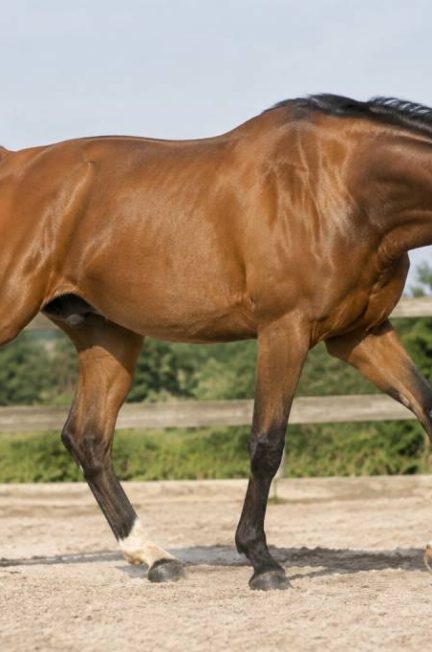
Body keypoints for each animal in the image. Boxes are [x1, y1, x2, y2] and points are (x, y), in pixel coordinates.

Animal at [2, 94, 432, 591]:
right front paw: (262, 561)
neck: (339, 189)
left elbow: (427, 408)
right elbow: (266, 444)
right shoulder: (284, 329)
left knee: (87, 437)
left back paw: (155, 557)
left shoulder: (359, 334)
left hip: (106, 335)